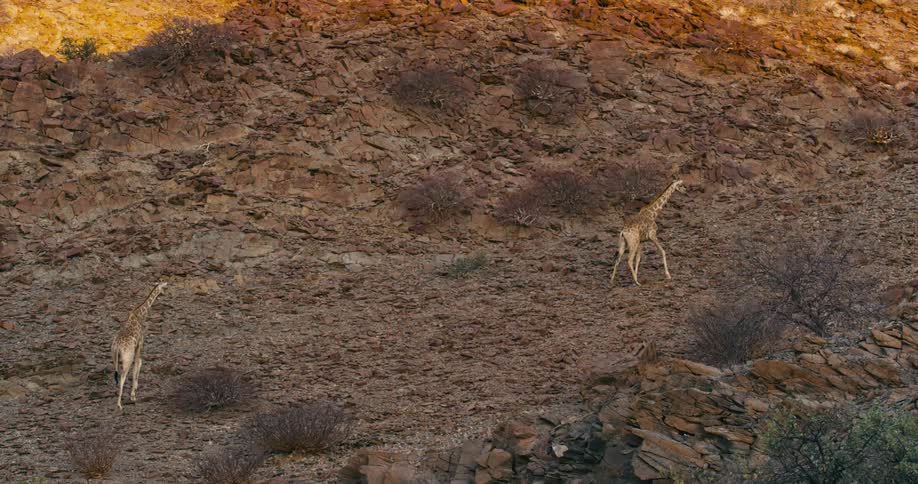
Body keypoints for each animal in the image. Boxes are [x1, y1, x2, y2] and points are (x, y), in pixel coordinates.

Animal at [111, 282, 168, 410]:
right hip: (127, 356)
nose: (165, 294)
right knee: (123, 376)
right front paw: (133, 395)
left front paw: (135, 388)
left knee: (117, 374)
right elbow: (138, 364)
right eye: (164, 287)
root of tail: (117, 345)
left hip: (115, 357)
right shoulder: (139, 345)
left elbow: (139, 363)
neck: (139, 315)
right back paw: (119, 404)